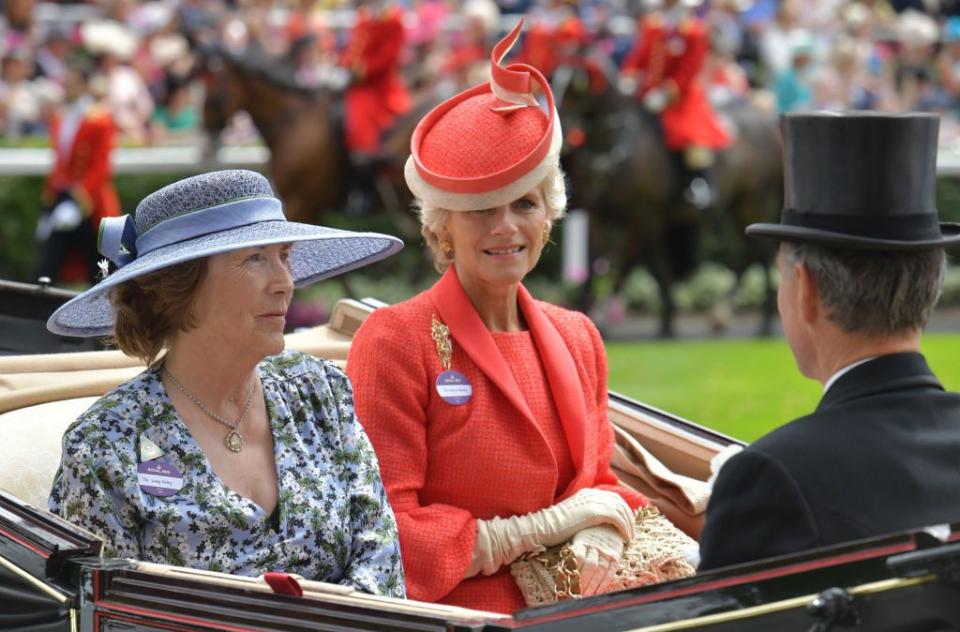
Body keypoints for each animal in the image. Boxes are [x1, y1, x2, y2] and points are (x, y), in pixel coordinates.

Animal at [552, 58, 784, 336]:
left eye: (575, 88)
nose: (556, 130)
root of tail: (767, 123)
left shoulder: (646, 214)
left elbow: (653, 263)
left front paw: (667, 321)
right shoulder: (600, 215)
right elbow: (596, 261)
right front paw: (586, 312)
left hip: (753, 202)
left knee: (760, 253)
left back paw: (764, 320)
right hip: (735, 205)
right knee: (747, 254)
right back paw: (724, 312)